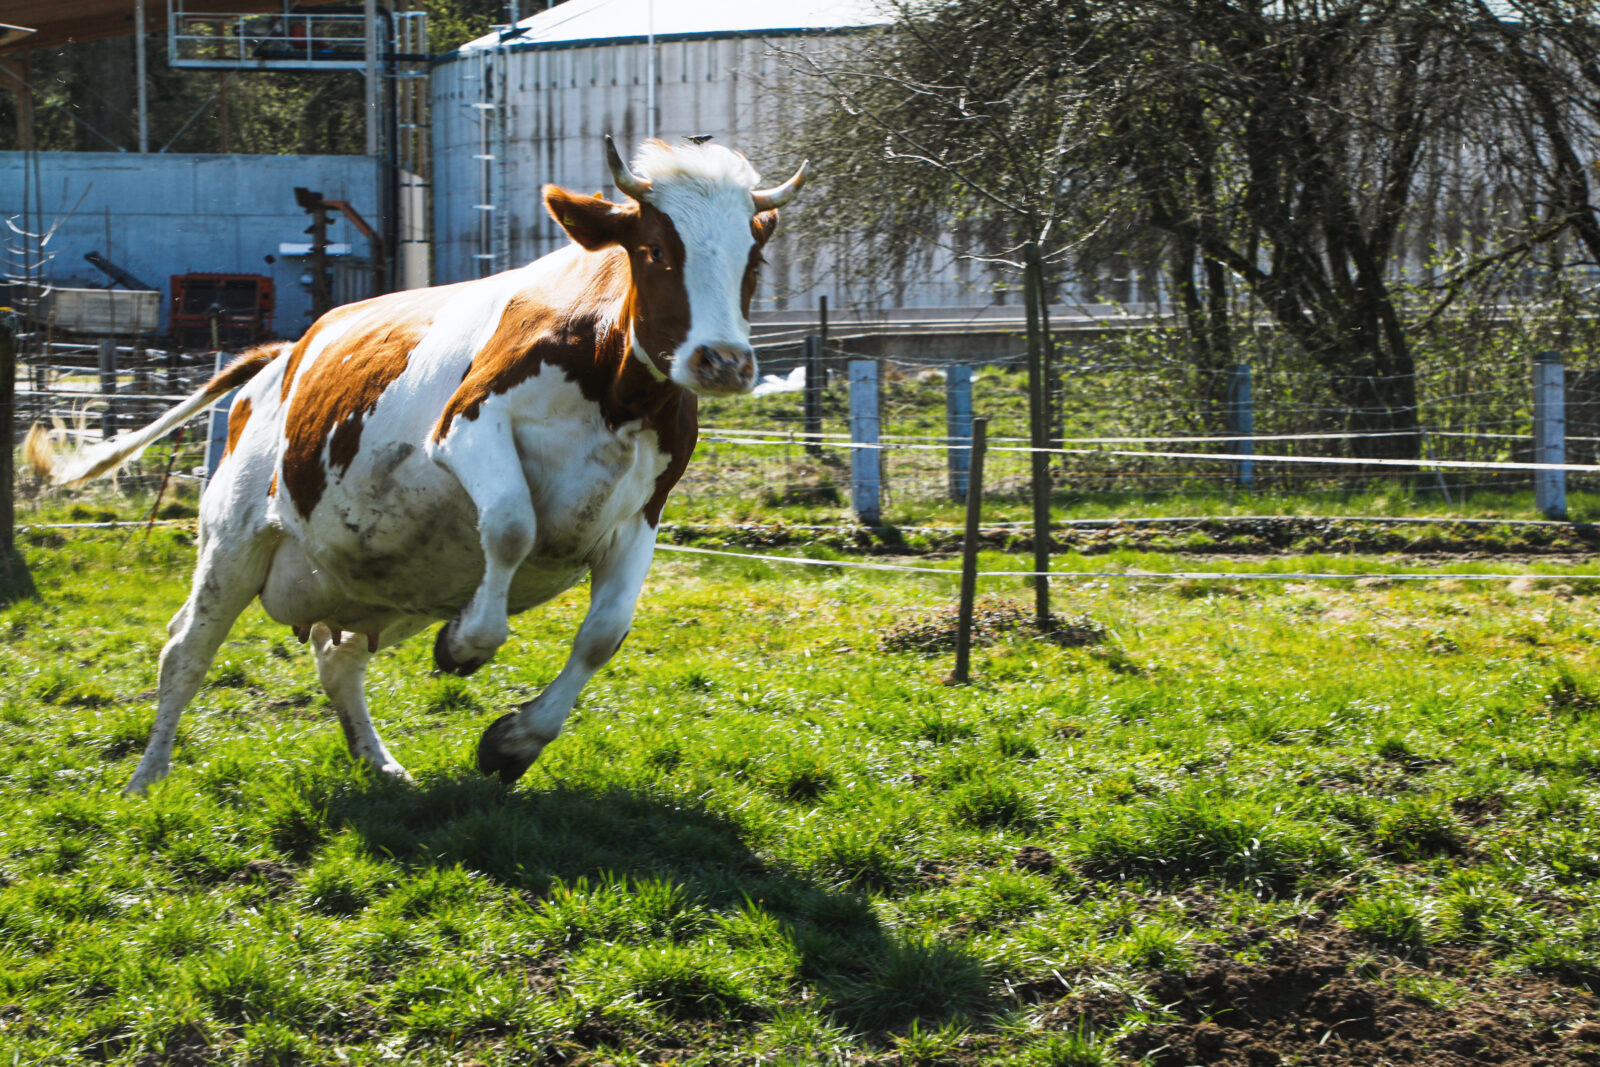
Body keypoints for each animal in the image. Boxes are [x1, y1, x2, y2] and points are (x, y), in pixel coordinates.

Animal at [34, 135, 812, 793]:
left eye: (753, 259)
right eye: (655, 249)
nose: (723, 361)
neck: (615, 389)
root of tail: (281, 353)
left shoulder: (642, 514)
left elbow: (601, 637)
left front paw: (512, 742)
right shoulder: (468, 428)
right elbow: (511, 527)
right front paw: (465, 644)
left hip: (388, 583)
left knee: (338, 660)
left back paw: (379, 762)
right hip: (233, 541)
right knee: (185, 651)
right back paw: (148, 777)